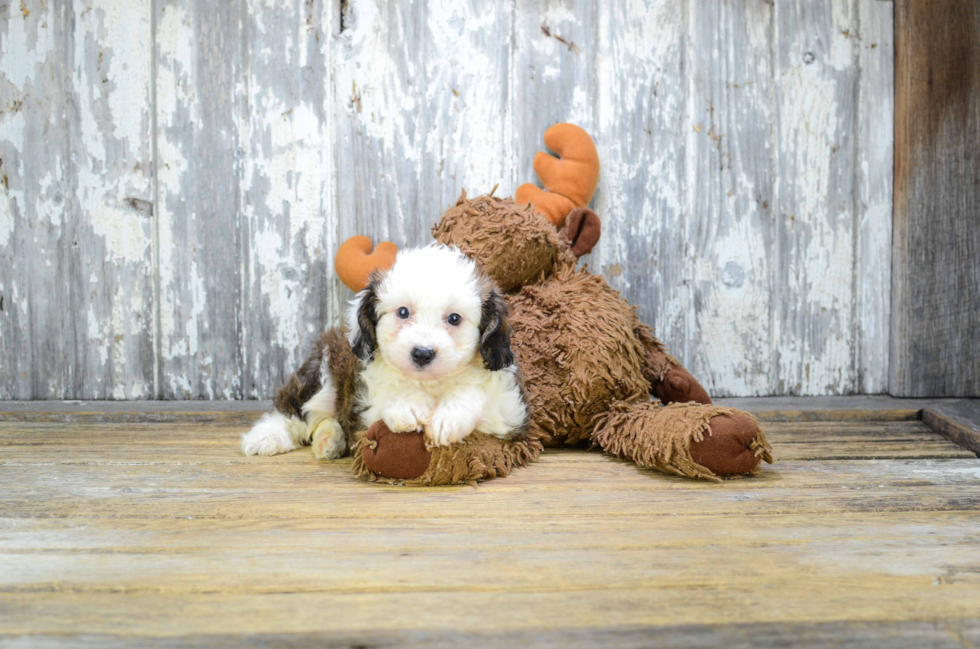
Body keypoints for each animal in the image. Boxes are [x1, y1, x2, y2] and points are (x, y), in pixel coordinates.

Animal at [240, 244, 528, 460]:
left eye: (454, 319)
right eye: (403, 312)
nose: (422, 353)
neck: (430, 384)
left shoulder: (510, 415)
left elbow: (476, 393)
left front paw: (449, 417)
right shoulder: (365, 410)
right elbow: (387, 398)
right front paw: (407, 404)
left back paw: (329, 439)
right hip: (322, 370)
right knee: (294, 408)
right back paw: (269, 435)